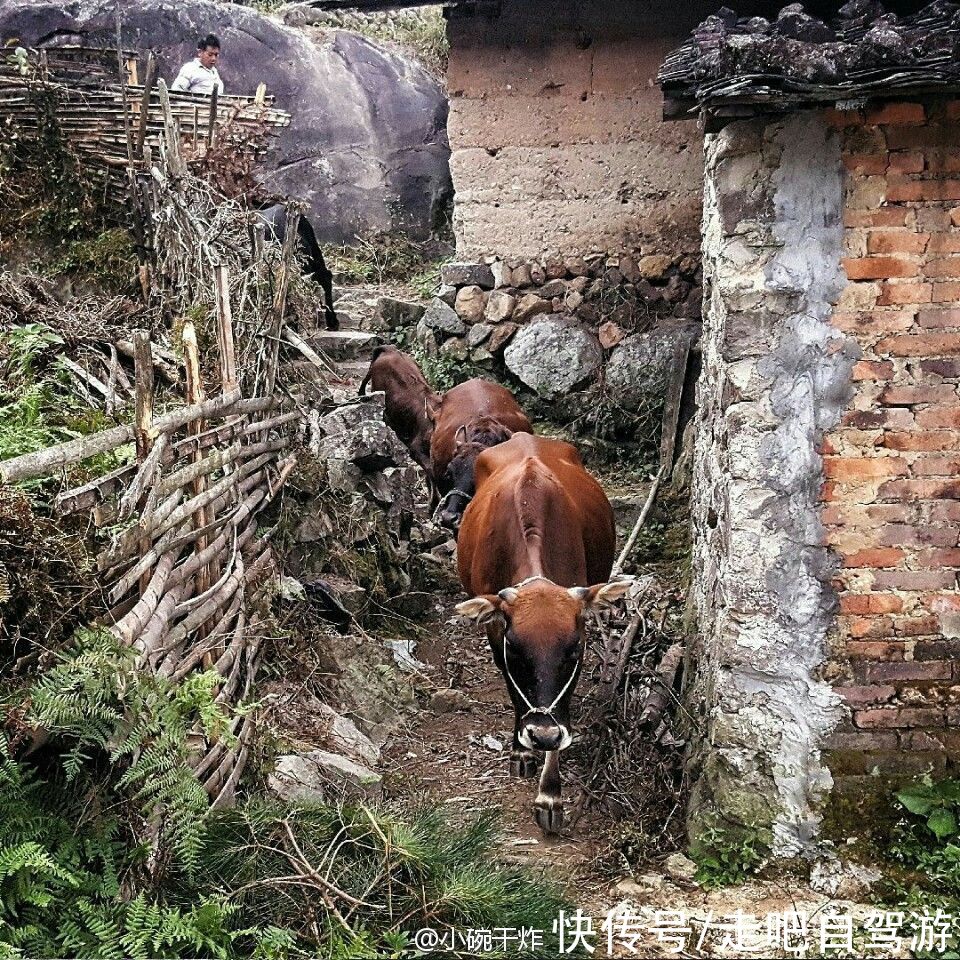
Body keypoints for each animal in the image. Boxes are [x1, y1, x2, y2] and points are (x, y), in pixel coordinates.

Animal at [456, 434, 632, 832]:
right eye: (517, 652)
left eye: (573, 652)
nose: (544, 734)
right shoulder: (496, 632)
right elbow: (513, 688)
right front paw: (522, 749)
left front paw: (550, 795)